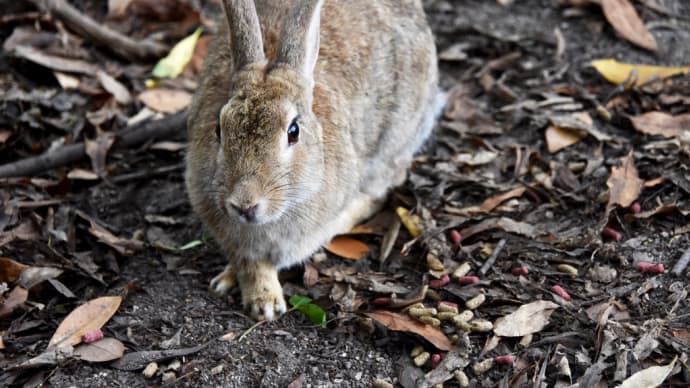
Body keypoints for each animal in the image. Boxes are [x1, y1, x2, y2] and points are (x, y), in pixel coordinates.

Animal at [183, 0, 440, 322]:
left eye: (293, 132)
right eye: (219, 129)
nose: (244, 205)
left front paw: (266, 304)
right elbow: (249, 262)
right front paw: (252, 294)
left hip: (393, 142)